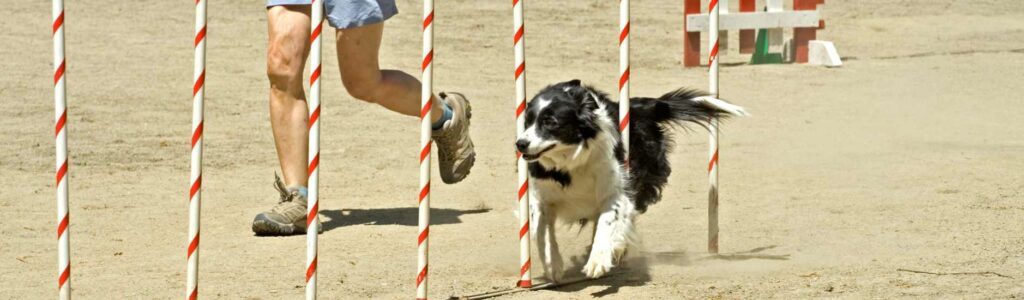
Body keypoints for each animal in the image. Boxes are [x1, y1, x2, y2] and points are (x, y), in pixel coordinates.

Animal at [516, 79, 749, 280]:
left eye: (550, 122)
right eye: (527, 121)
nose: (520, 144)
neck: (570, 163)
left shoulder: (616, 190)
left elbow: (607, 222)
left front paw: (598, 261)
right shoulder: (541, 197)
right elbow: (541, 232)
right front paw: (552, 265)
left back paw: (617, 248)